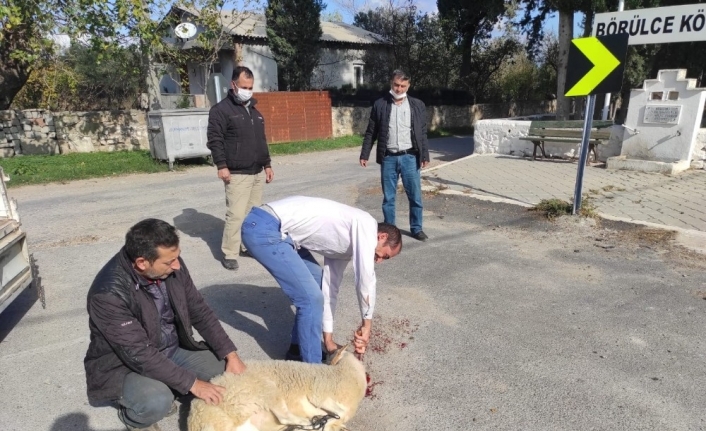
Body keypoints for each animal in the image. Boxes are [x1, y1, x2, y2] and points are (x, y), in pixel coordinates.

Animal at [187, 346, 366, 431]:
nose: (325, 357)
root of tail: (196, 419)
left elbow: (339, 417)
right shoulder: (319, 392)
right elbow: (339, 413)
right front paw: (326, 422)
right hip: (264, 389)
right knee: (284, 417)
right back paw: (306, 422)